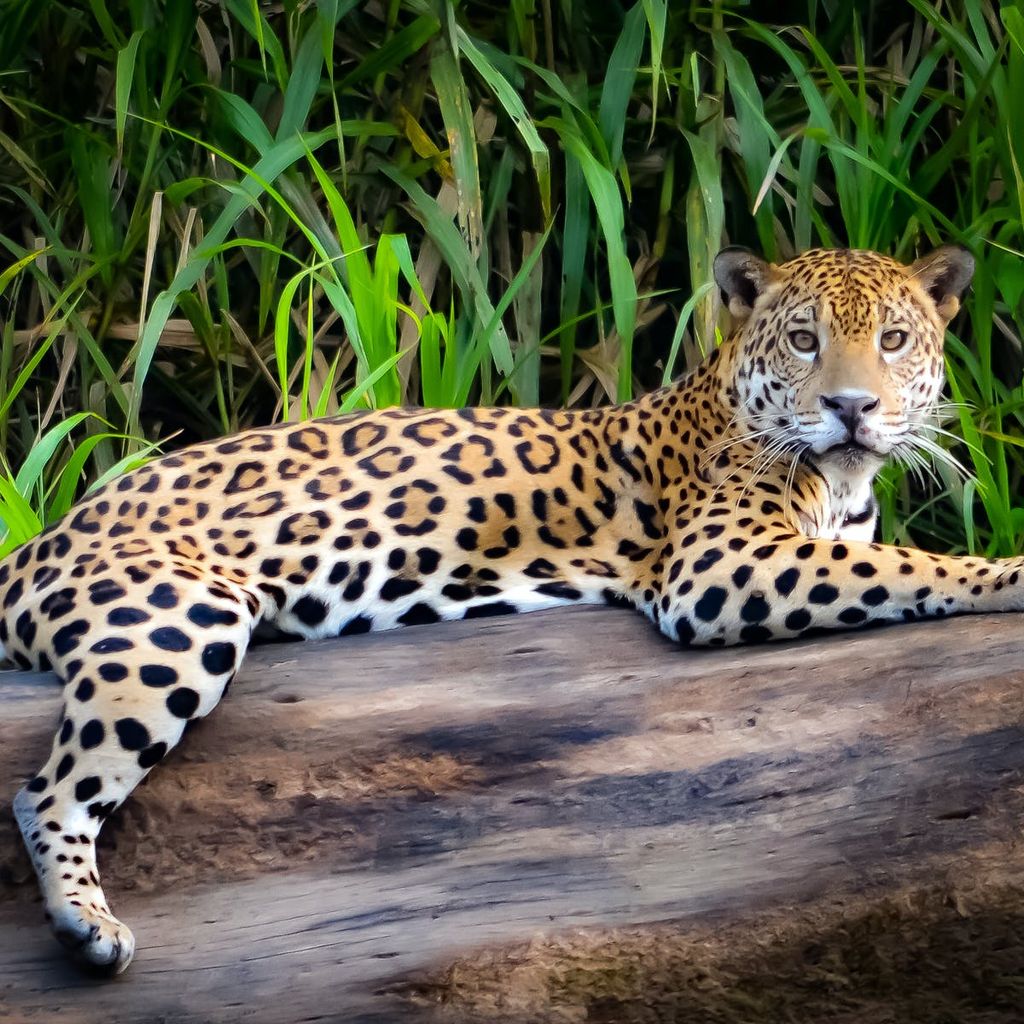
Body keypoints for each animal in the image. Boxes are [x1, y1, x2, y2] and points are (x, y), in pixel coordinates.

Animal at [5, 242, 1023, 976]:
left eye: (893, 341)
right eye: (806, 341)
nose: (852, 408)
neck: (839, 481)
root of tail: (41, 540)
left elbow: (887, 554)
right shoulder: (718, 566)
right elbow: (908, 564)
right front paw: (1008, 573)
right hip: (176, 619)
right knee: (45, 791)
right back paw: (88, 930)